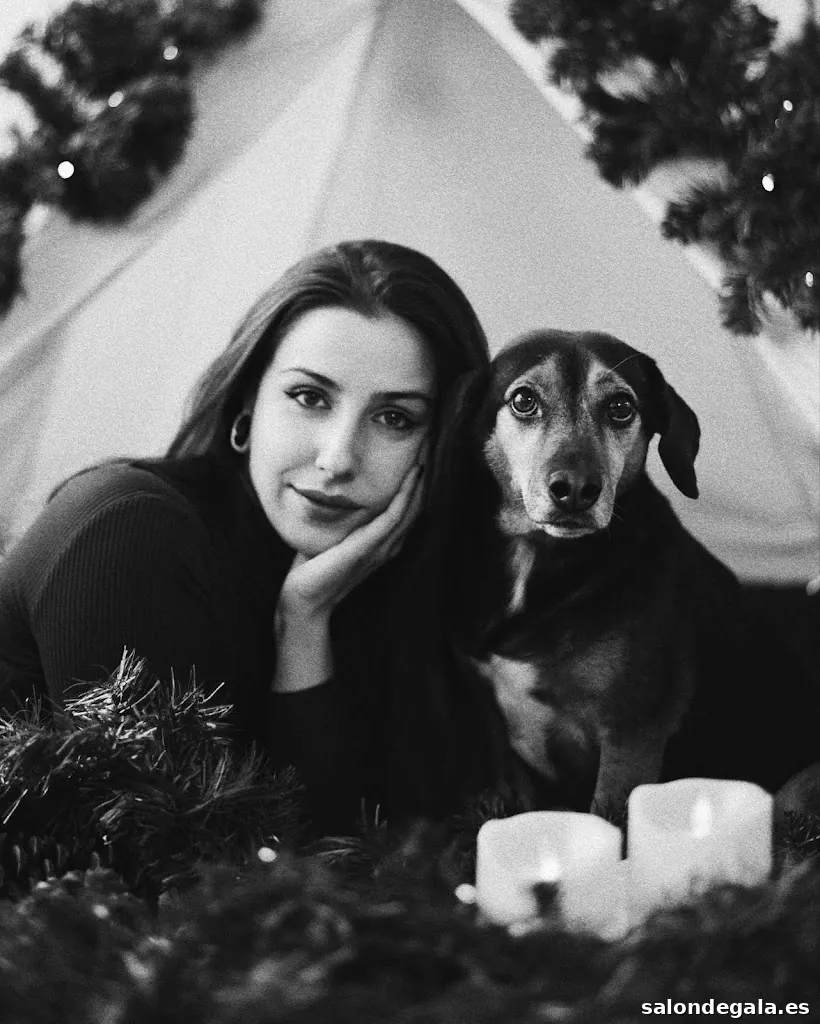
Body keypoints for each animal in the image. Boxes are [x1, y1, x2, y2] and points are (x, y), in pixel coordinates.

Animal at [470, 329, 746, 817]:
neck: (544, 559)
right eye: (523, 400)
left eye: (621, 406)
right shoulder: (502, 746)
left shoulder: (632, 738)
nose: (576, 489)